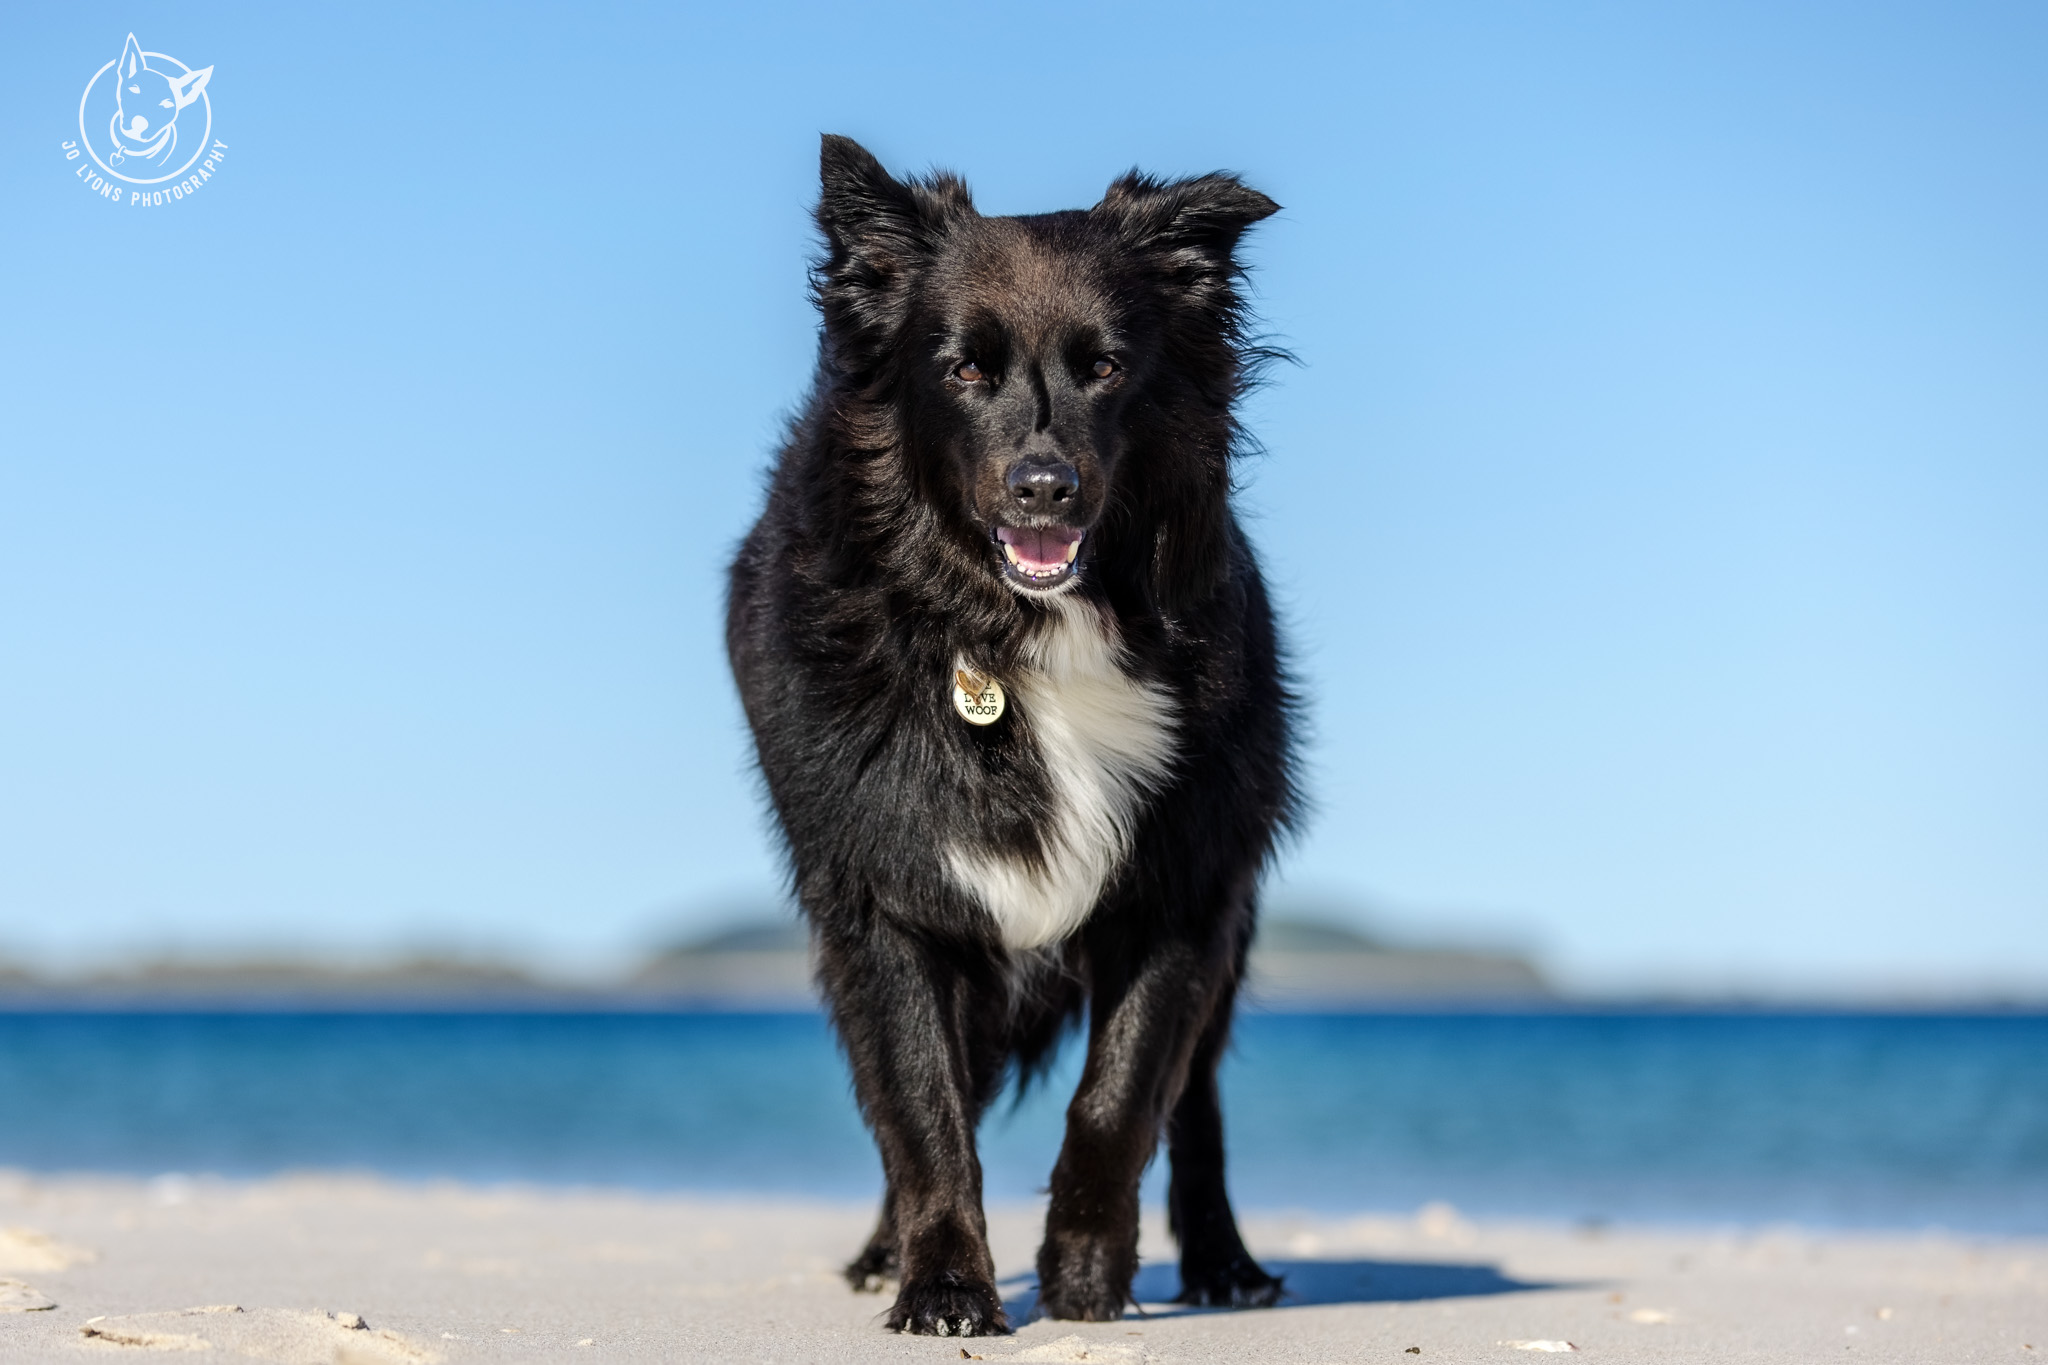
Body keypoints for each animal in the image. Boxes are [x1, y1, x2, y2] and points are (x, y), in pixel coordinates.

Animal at [729, 133, 1286, 1326]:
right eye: (964, 370)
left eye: (1107, 366)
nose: (1044, 488)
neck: (1019, 636)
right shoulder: (885, 902)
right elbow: (921, 1110)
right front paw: (943, 1285)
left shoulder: (1184, 891)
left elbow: (1120, 1098)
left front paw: (1084, 1281)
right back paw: (885, 1250)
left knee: (1199, 1107)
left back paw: (1225, 1265)